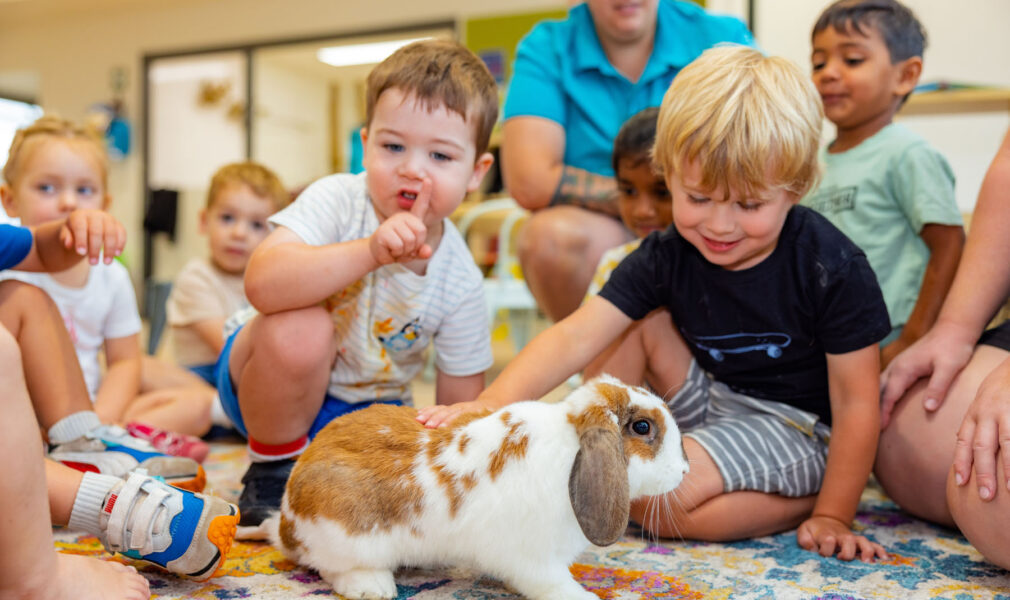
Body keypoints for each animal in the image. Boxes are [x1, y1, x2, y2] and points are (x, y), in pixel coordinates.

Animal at [264, 373, 690, 597]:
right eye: (642, 427)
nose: (685, 470)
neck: (571, 449)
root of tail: (286, 519)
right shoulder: (535, 558)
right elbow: (552, 584)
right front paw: (583, 595)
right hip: (348, 535)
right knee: (331, 569)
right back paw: (374, 587)